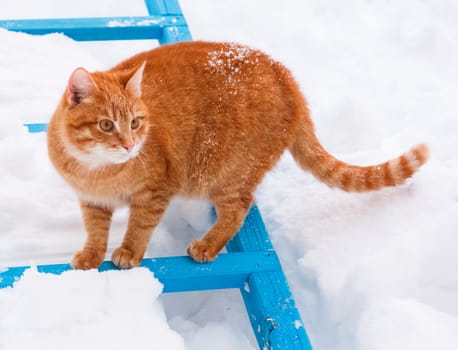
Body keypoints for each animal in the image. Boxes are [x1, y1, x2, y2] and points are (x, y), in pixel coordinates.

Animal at [47, 41, 430, 270]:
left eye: (136, 123)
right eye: (107, 125)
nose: (129, 145)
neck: (97, 171)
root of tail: (286, 77)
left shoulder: (156, 191)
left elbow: (140, 226)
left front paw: (128, 251)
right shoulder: (91, 200)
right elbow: (96, 230)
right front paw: (91, 255)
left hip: (222, 173)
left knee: (240, 208)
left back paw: (208, 244)